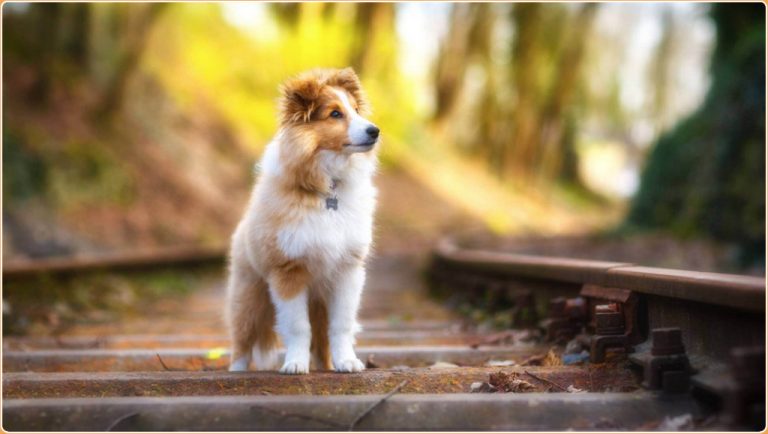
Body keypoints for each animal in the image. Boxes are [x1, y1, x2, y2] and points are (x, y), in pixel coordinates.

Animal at [224, 67, 380, 372]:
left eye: (356, 110)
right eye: (335, 113)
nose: (375, 131)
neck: (328, 192)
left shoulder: (347, 271)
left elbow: (341, 326)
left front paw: (348, 361)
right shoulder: (289, 271)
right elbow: (297, 327)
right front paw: (295, 364)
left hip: (318, 305)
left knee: (321, 343)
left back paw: (328, 366)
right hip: (248, 297)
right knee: (241, 340)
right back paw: (235, 371)